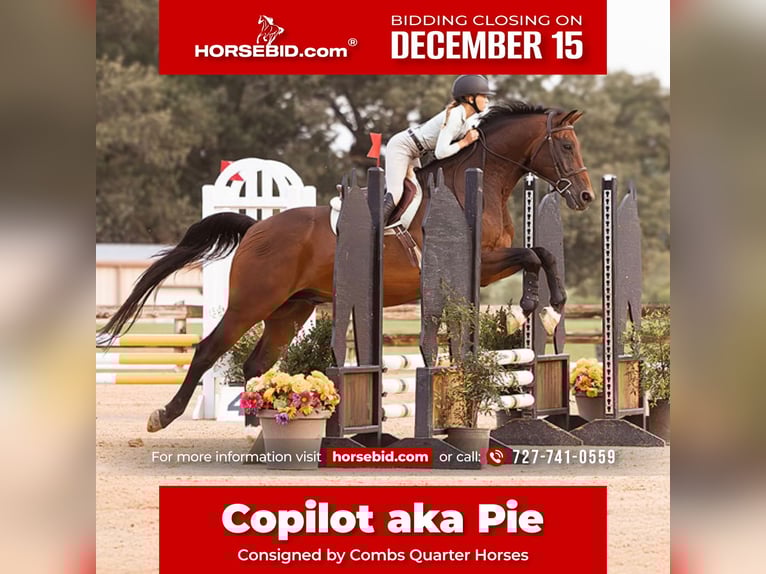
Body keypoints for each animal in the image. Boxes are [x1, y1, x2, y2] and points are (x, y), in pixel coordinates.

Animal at [98, 102, 594, 433]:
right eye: (566, 145)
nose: (586, 196)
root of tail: (257, 226)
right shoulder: (477, 262)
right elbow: (534, 255)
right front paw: (544, 307)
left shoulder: (486, 268)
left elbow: (539, 255)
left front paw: (542, 308)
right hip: (251, 303)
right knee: (207, 351)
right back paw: (164, 416)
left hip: (291, 309)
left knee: (258, 362)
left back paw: (262, 426)